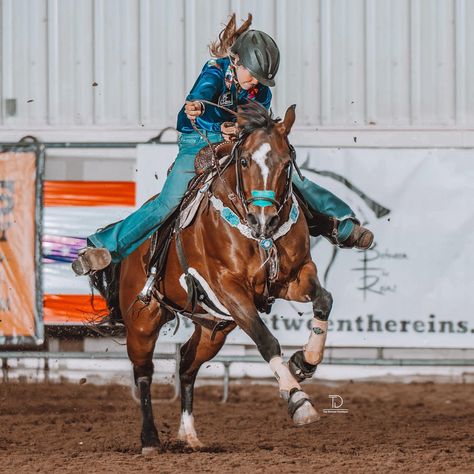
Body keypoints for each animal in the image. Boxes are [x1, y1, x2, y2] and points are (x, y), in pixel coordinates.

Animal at [90, 102, 334, 454]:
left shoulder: (294, 276)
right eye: (244, 161)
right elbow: (266, 340)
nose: (263, 218)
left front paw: (305, 361)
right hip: (143, 320)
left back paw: (189, 435)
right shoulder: (230, 288)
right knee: (143, 372)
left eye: (286, 162)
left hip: (213, 329)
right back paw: (150, 439)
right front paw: (299, 402)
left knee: (187, 366)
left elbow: (323, 300)